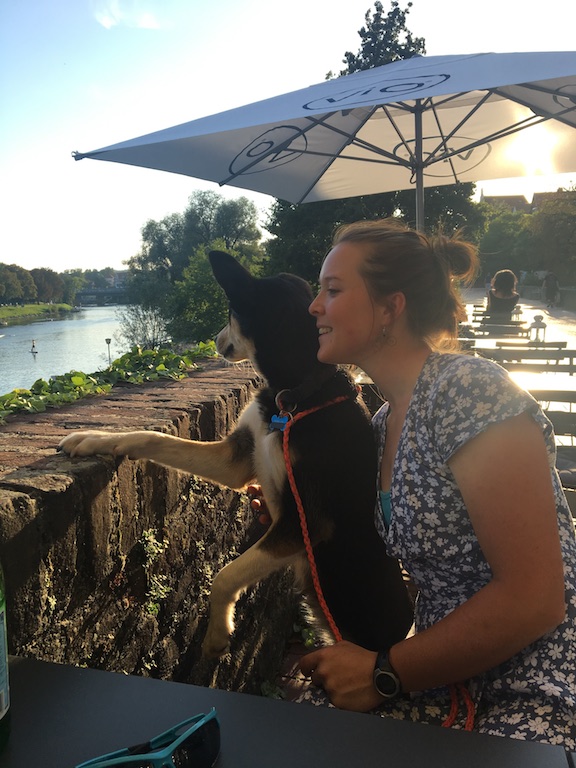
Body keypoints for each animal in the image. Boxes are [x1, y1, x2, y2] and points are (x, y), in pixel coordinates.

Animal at [58, 251, 413, 658]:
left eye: (229, 313)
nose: (214, 339)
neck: (293, 396)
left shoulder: (305, 522)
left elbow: (225, 575)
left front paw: (216, 633)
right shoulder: (237, 459)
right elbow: (153, 438)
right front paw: (93, 438)